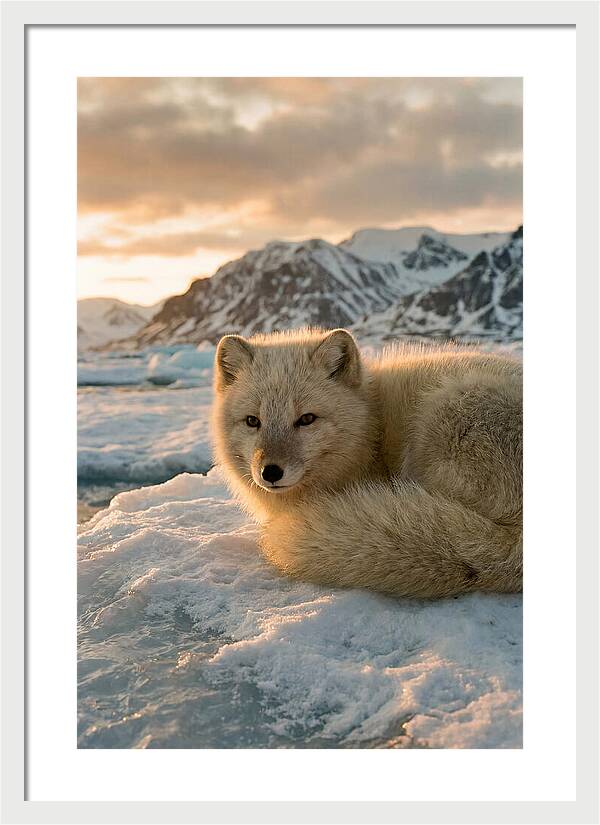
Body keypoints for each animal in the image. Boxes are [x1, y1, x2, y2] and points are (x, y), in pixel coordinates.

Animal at [212, 328, 522, 599]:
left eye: (307, 419)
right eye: (253, 421)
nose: (270, 472)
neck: (371, 426)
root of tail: (514, 547)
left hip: (443, 414)